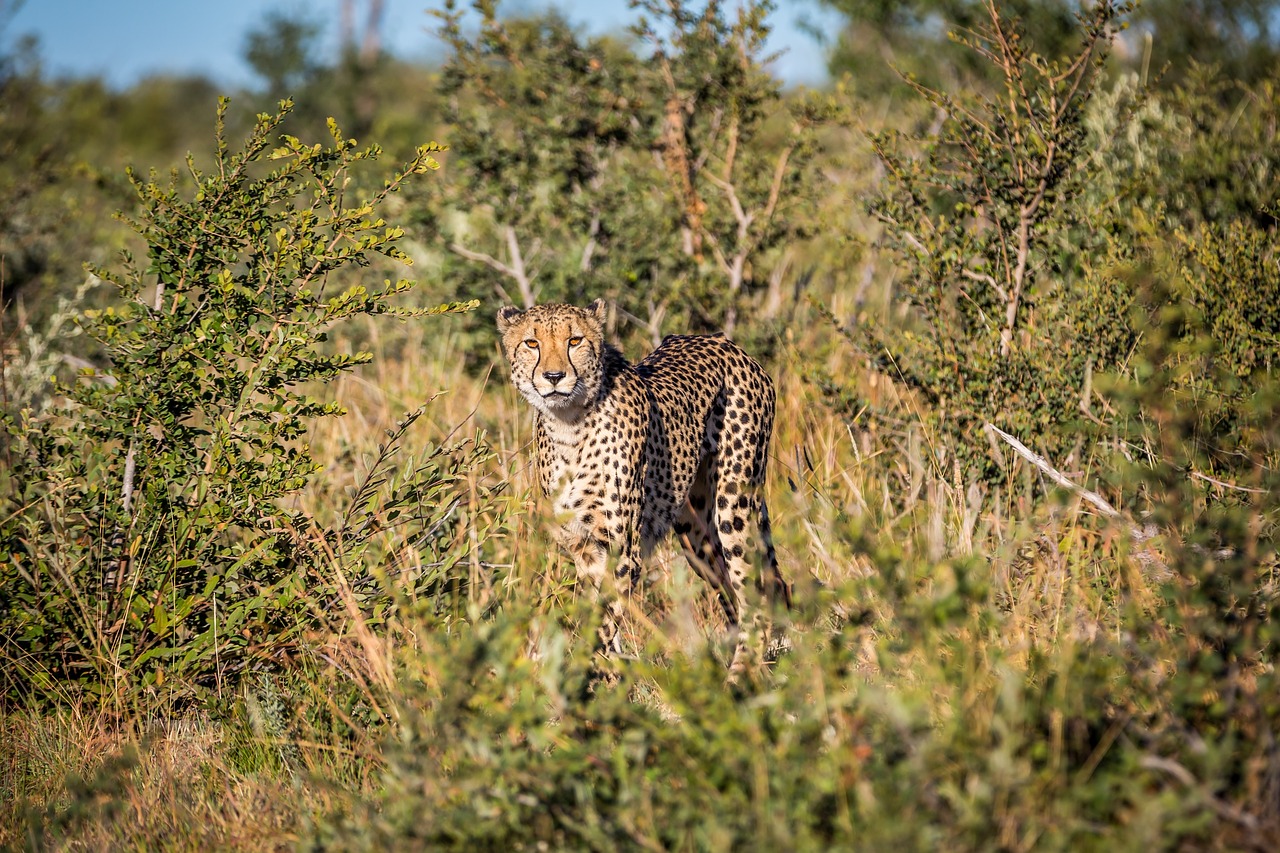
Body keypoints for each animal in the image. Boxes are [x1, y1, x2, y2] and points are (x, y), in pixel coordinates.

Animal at [494, 297, 783, 671]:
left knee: (755, 597)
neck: (569, 424)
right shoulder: (583, 545)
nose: (554, 377)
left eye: (575, 341)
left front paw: (590, 671)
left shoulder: (623, 546)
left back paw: (741, 676)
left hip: (734, 505)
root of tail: (723, 341)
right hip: (696, 533)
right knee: (735, 596)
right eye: (532, 343)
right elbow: (598, 614)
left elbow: (603, 622)